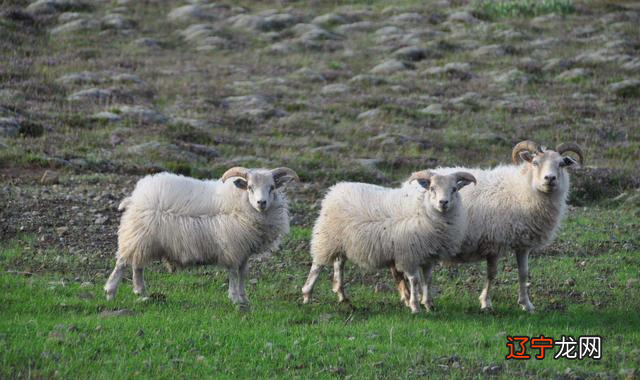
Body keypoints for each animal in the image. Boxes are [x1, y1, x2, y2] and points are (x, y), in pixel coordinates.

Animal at [102, 166, 298, 308]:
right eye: (250, 187)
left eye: (272, 187)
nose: (261, 202)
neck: (240, 203)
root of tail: (136, 196)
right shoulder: (233, 247)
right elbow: (234, 273)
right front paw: (235, 298)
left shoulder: (244, 251)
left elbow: (243, 273)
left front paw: (244, 298)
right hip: (136, 236)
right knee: (122, 263)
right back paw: (111, 292)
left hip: (144, 240)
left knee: (137, 265)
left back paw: (141, 293)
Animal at [302, 171, 478, 314]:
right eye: (432, 188)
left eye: (454, 189)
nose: (443, 202)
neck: (423, 209)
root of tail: (335, 190)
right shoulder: (409, 255)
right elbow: (414, 280)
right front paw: (415, 306)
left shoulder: (428, 256)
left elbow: (427, 280)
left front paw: (428, 304)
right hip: (326, 238)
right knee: (317, 266)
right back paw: (307, 295)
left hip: (342, 242)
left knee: (339, 264)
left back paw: (342, 296)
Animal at [392, 141, 584, 314]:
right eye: (535, 162)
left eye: (561, 164)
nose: (550, 178)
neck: (522, 190)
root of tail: (404, 185)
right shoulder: (494, 242)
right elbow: (492, 274)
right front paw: (486, 303)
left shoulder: (523, 243)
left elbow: (523, 273)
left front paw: (526, 304)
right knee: (400, 269)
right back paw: (408, 298)